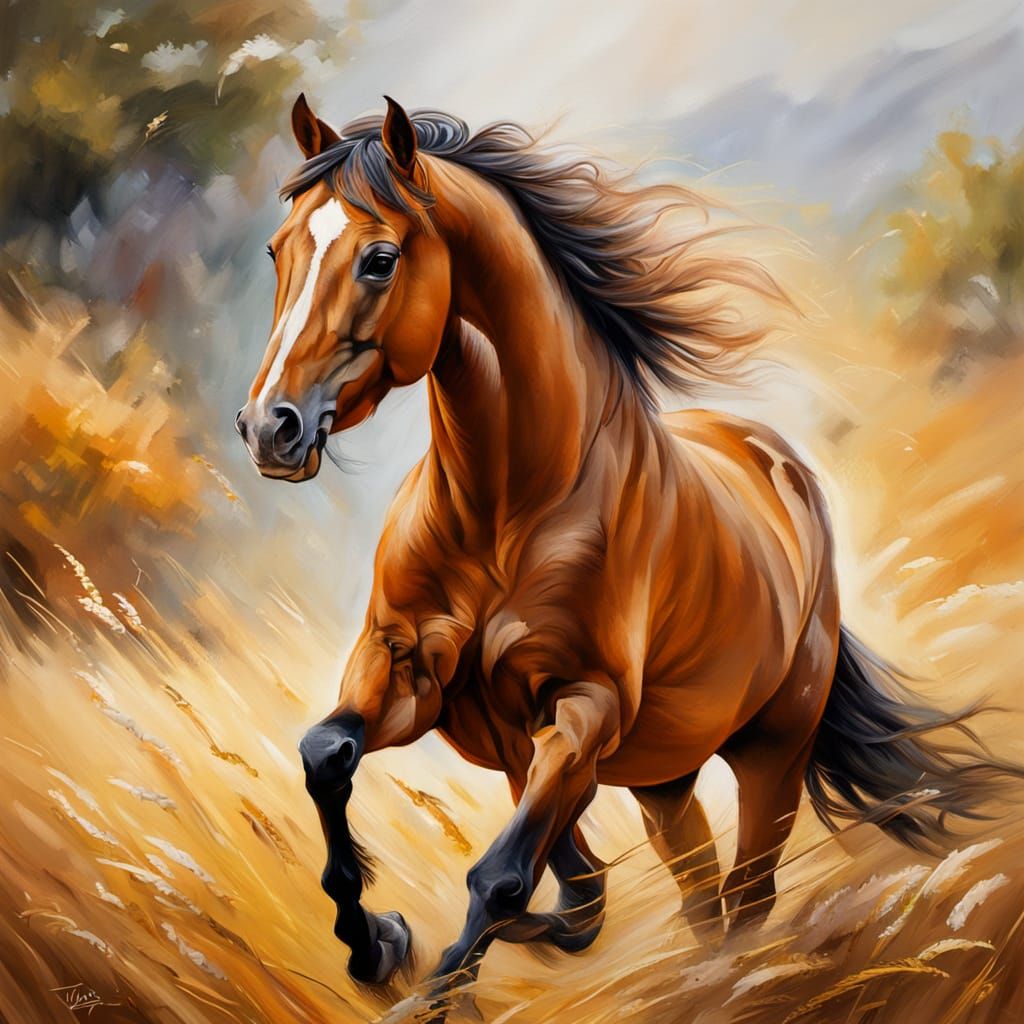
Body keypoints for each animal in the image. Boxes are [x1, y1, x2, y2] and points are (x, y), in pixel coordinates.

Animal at [235, 94, 1017, 999]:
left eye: (381, 259)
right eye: (277, 249)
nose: (269, 428)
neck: (505, 511)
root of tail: (782, 469)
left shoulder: (584, 709)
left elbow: (503, 880)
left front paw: (429, 982)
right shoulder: (405, 670)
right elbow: (327, 755)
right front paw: (374, 942)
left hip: (770, 754)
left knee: (745, 899)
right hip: (663, 784)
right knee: (698, 897)